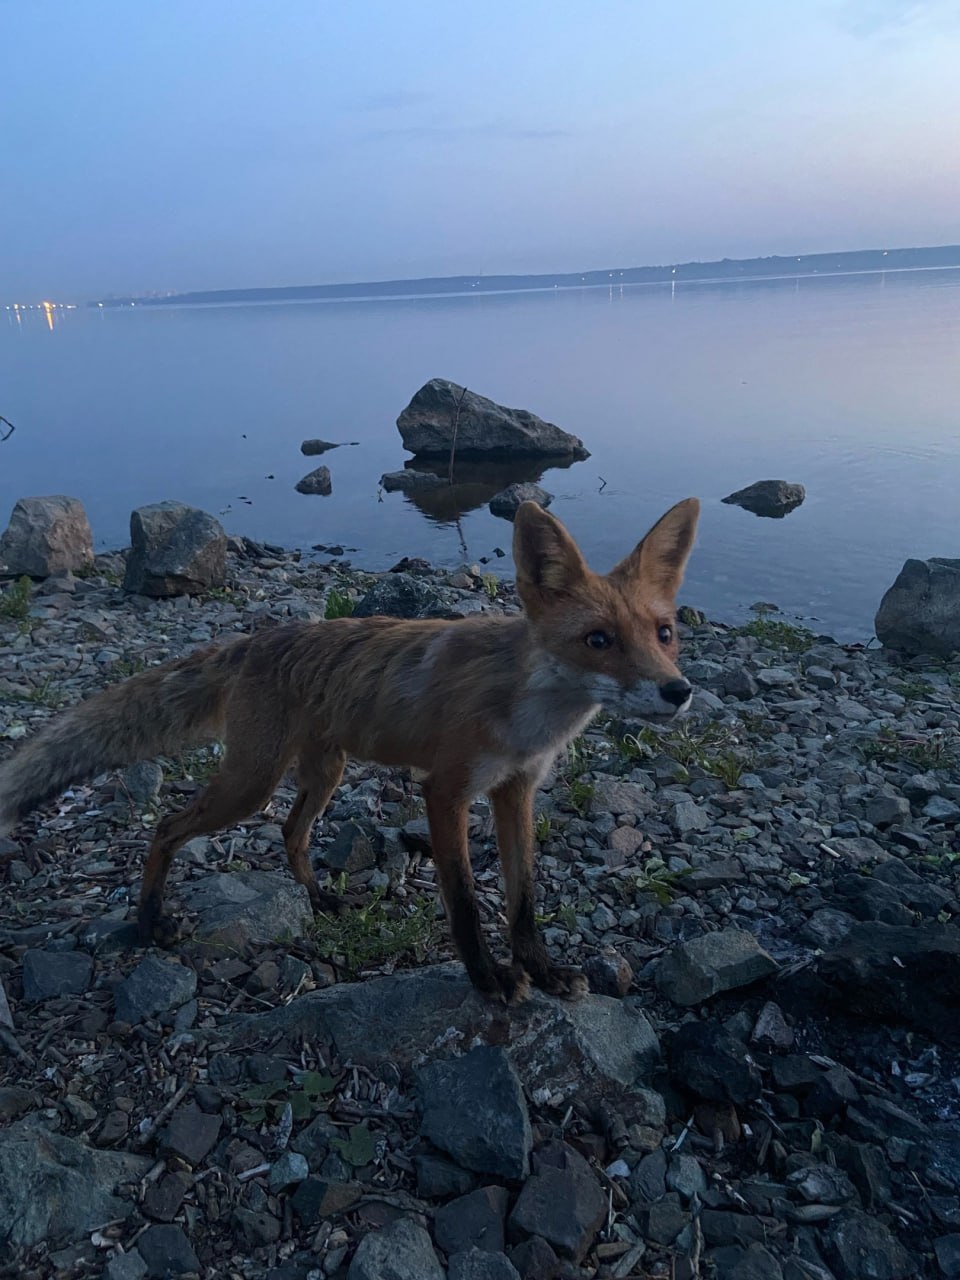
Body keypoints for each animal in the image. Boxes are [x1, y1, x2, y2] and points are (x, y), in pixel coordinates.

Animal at [0, 494, 701, 1003]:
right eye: (598, 640)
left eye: (664, 633)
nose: (679, 691)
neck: (528, 715)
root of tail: (252, 641)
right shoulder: (445, 792)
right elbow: (465, 903)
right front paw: (489, 978)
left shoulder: (516, 790)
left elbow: (524, 900)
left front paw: (543, 970)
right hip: (249, 784)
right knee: (168, 826)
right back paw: (149, 922)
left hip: (324, 772)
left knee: (290, 833)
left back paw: (319, 899)